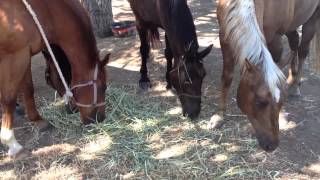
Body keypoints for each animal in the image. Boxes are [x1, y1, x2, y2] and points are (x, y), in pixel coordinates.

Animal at [0, 0, 109, 158]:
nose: (100, 119)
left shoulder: (25, 54)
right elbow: (8, 99)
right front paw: (11, 143)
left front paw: (37, 120)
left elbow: (28, 89)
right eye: (103, 87)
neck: (45, 11)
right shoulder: (16, 56)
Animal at [212, 0, 320, 152]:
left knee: (303, 50)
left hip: (312, 18)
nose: (272, 145)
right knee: (294, 43)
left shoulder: (275, 37)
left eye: (281, 101)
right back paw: (291, 79)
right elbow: (227, 77)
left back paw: (295, 86)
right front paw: (219, 116)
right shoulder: (225, 35)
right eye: (260, 102)